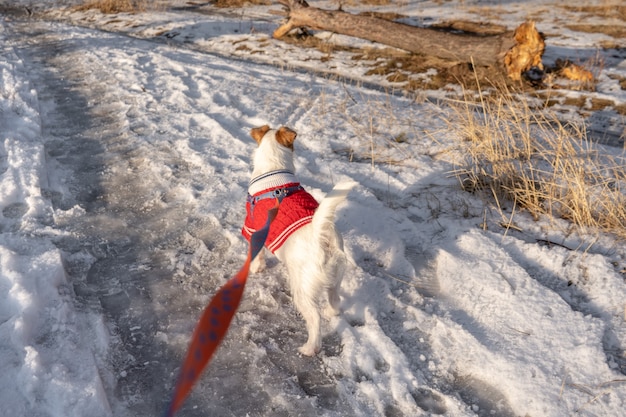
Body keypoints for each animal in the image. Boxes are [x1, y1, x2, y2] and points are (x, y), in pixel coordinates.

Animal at [241, 123, 354, 354]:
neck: (274, 171)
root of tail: (322, 241)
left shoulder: (253, 228)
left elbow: (257, 254)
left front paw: (255, 268)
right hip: (335, 279)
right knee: (335, 302)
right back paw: (330, 312)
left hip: (302, 290)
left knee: (315, 319)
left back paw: (309, 348)